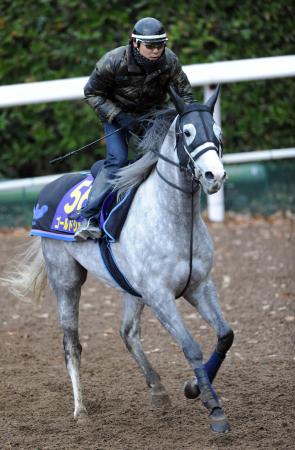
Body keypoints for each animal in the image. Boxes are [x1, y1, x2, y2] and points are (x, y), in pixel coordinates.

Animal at [5, 86, 235, 434]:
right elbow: (191, 346)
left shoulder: (199, 286)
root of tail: (47, 190)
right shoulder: (159, 296)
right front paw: (214, 408)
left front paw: (193, 387)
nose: (214, 175)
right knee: (71, 344)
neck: (175, 221)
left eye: (219, 133)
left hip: (130, 289)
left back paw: (158, 391)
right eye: (187, 132)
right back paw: (80, 409)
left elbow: (224, 335)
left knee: (128, 333)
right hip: (66, 279)